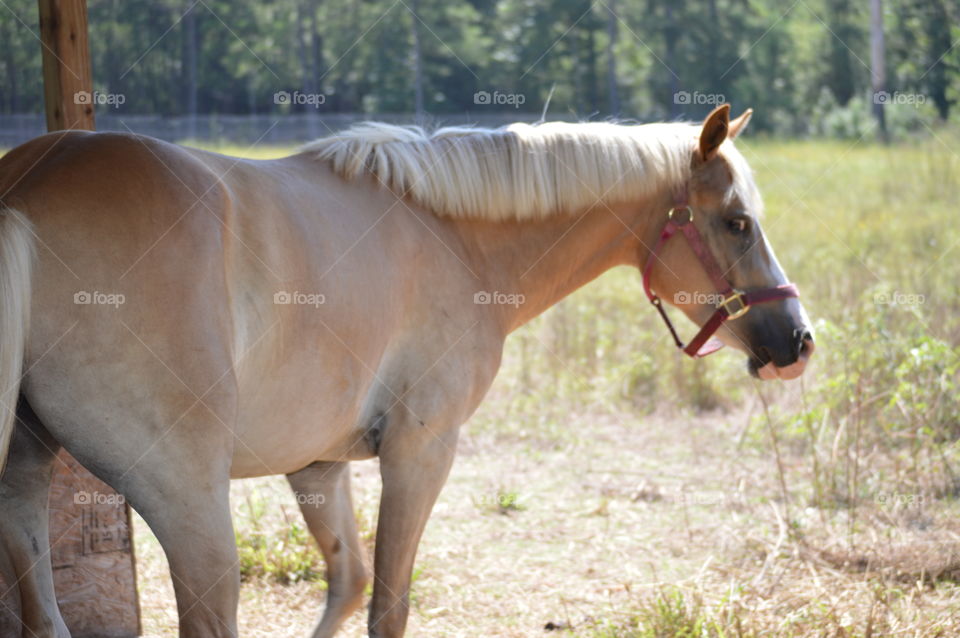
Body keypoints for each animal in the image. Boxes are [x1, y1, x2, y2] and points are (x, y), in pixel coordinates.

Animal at [0, 104, 814, 638]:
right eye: (737, 222)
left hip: (27, 478)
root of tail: (25, 192)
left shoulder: (319, 465)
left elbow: (348, 583)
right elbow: (387, 606)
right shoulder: (420, 453)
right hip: (190, 503)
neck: (452, 238)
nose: (798, 342)